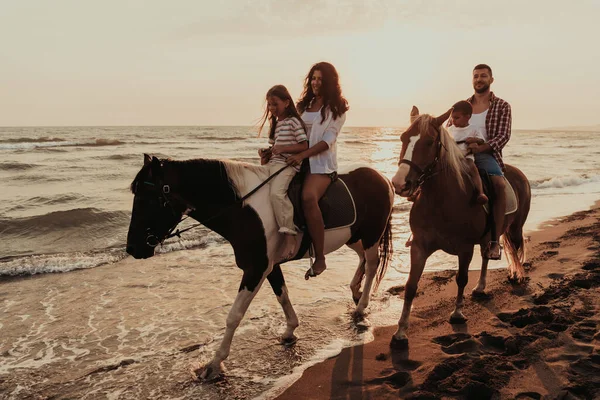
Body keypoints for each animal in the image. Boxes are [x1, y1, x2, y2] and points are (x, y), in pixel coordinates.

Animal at [125, 155, 394, 380]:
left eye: (148, 199)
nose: (132, 248)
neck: (243, 210)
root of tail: (382, 177)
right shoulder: (269, 266)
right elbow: (282, 295)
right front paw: (290, 330)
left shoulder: (256, 269)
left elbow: (234, 316)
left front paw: (215, 364)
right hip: (355, 237)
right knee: (362, 259)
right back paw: (355, 290)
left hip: (371, 235)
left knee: (372, 264)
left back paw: (361, 306)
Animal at [390, 106, 528, 346]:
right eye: (403, 138)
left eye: (429, 142)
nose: (400, 184)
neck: (441, 200)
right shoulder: (419, 246)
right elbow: (410, 286)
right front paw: (401, 331)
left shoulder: (464, 248)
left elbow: (461, 278)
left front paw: (457, 313)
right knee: (486, 256)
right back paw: (480, 287)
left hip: (515, 228)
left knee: (516, 249)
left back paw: (516, 275)